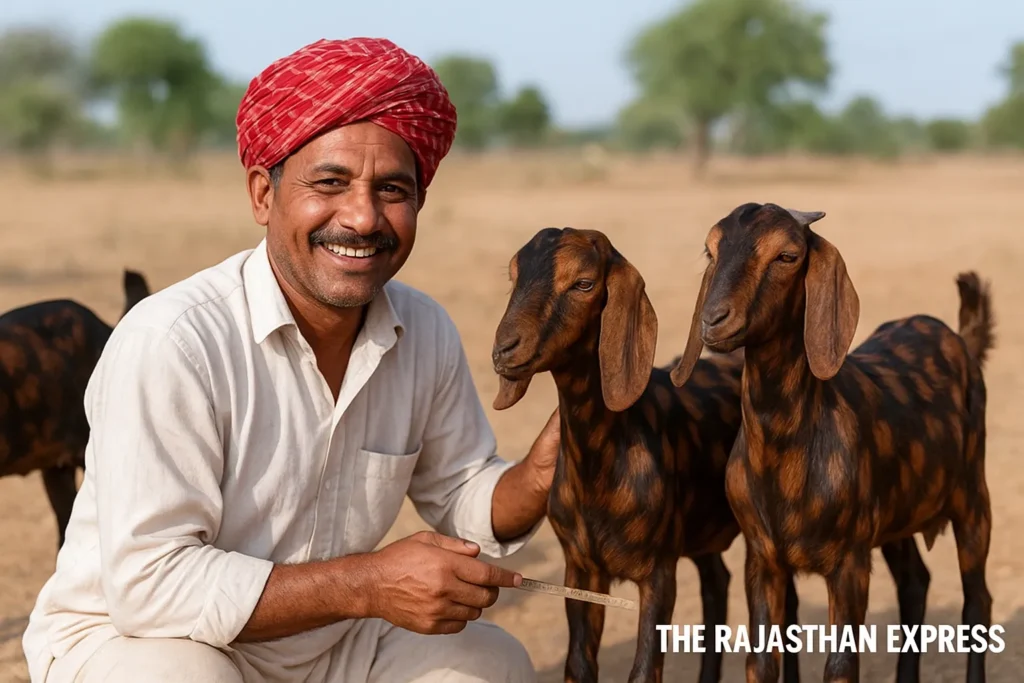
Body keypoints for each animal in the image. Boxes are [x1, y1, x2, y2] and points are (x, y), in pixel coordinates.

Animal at [490, 227, 802, 683]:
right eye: (513, 276)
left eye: (583, 283)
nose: (505, 349)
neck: (602, 468)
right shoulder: (580, 568)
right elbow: (578, 665)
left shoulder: (658, 571)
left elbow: (644, 669)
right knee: (716, 582)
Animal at [670, 202, 995, 683]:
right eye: (711, 251)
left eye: (787, 256)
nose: (713, 319)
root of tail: (961, 340)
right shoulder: (762, 557)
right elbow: (761, 659)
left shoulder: (849, 560)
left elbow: (841, 664)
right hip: (898, 515)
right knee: (915, 584)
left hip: (972, 496)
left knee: (977, 601)